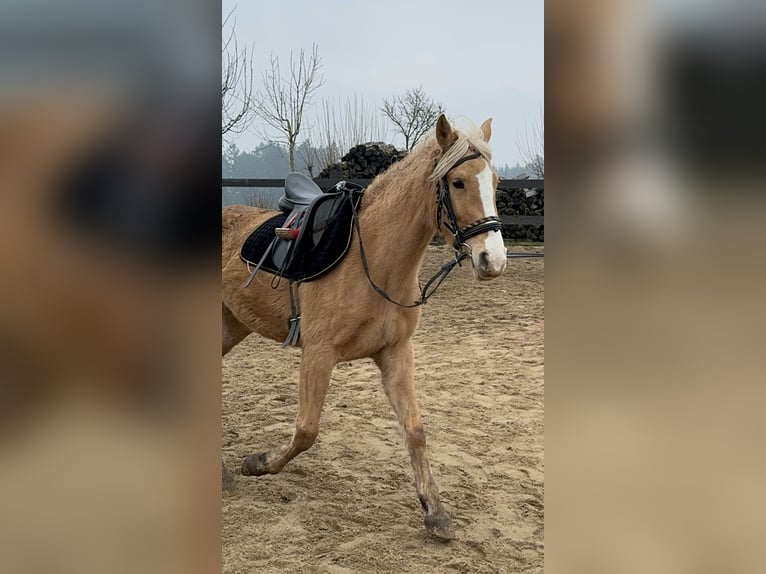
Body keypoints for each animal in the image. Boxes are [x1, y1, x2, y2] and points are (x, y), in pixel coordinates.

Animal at [222, 115, 510, 544]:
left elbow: (415, 430)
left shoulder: (396, 352)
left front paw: (435, 512)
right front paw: (258, 462)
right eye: (458, 182)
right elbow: (306, 430)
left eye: (495, 182)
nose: (493, 260)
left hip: (231, 325)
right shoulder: (318, 353)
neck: (372, 259)